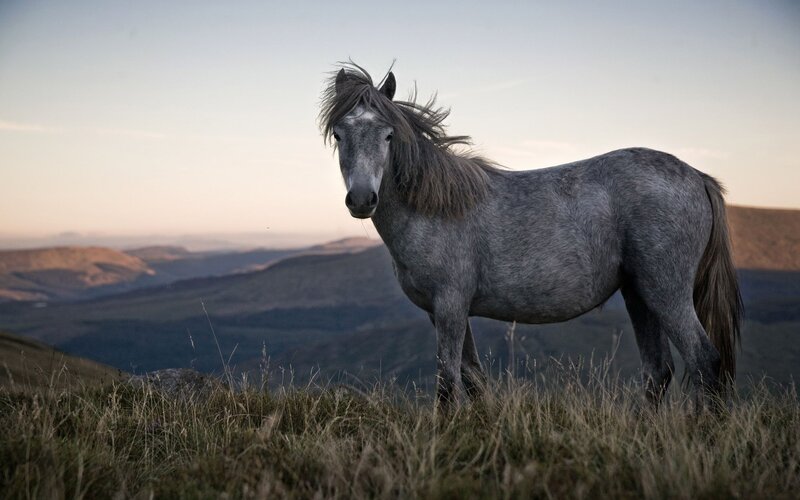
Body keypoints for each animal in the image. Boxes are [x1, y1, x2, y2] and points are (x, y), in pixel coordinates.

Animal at [319, 63, 742, 409]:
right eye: (339, 134)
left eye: (388, 135)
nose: (362, 199)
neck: (436, 208)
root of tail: (698, 177)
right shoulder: (442, 311)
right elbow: (472, 379)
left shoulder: (451, 306)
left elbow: (448, 383)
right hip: (639, 294)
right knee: (658, 371)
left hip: (666, 292)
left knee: (704, 360)